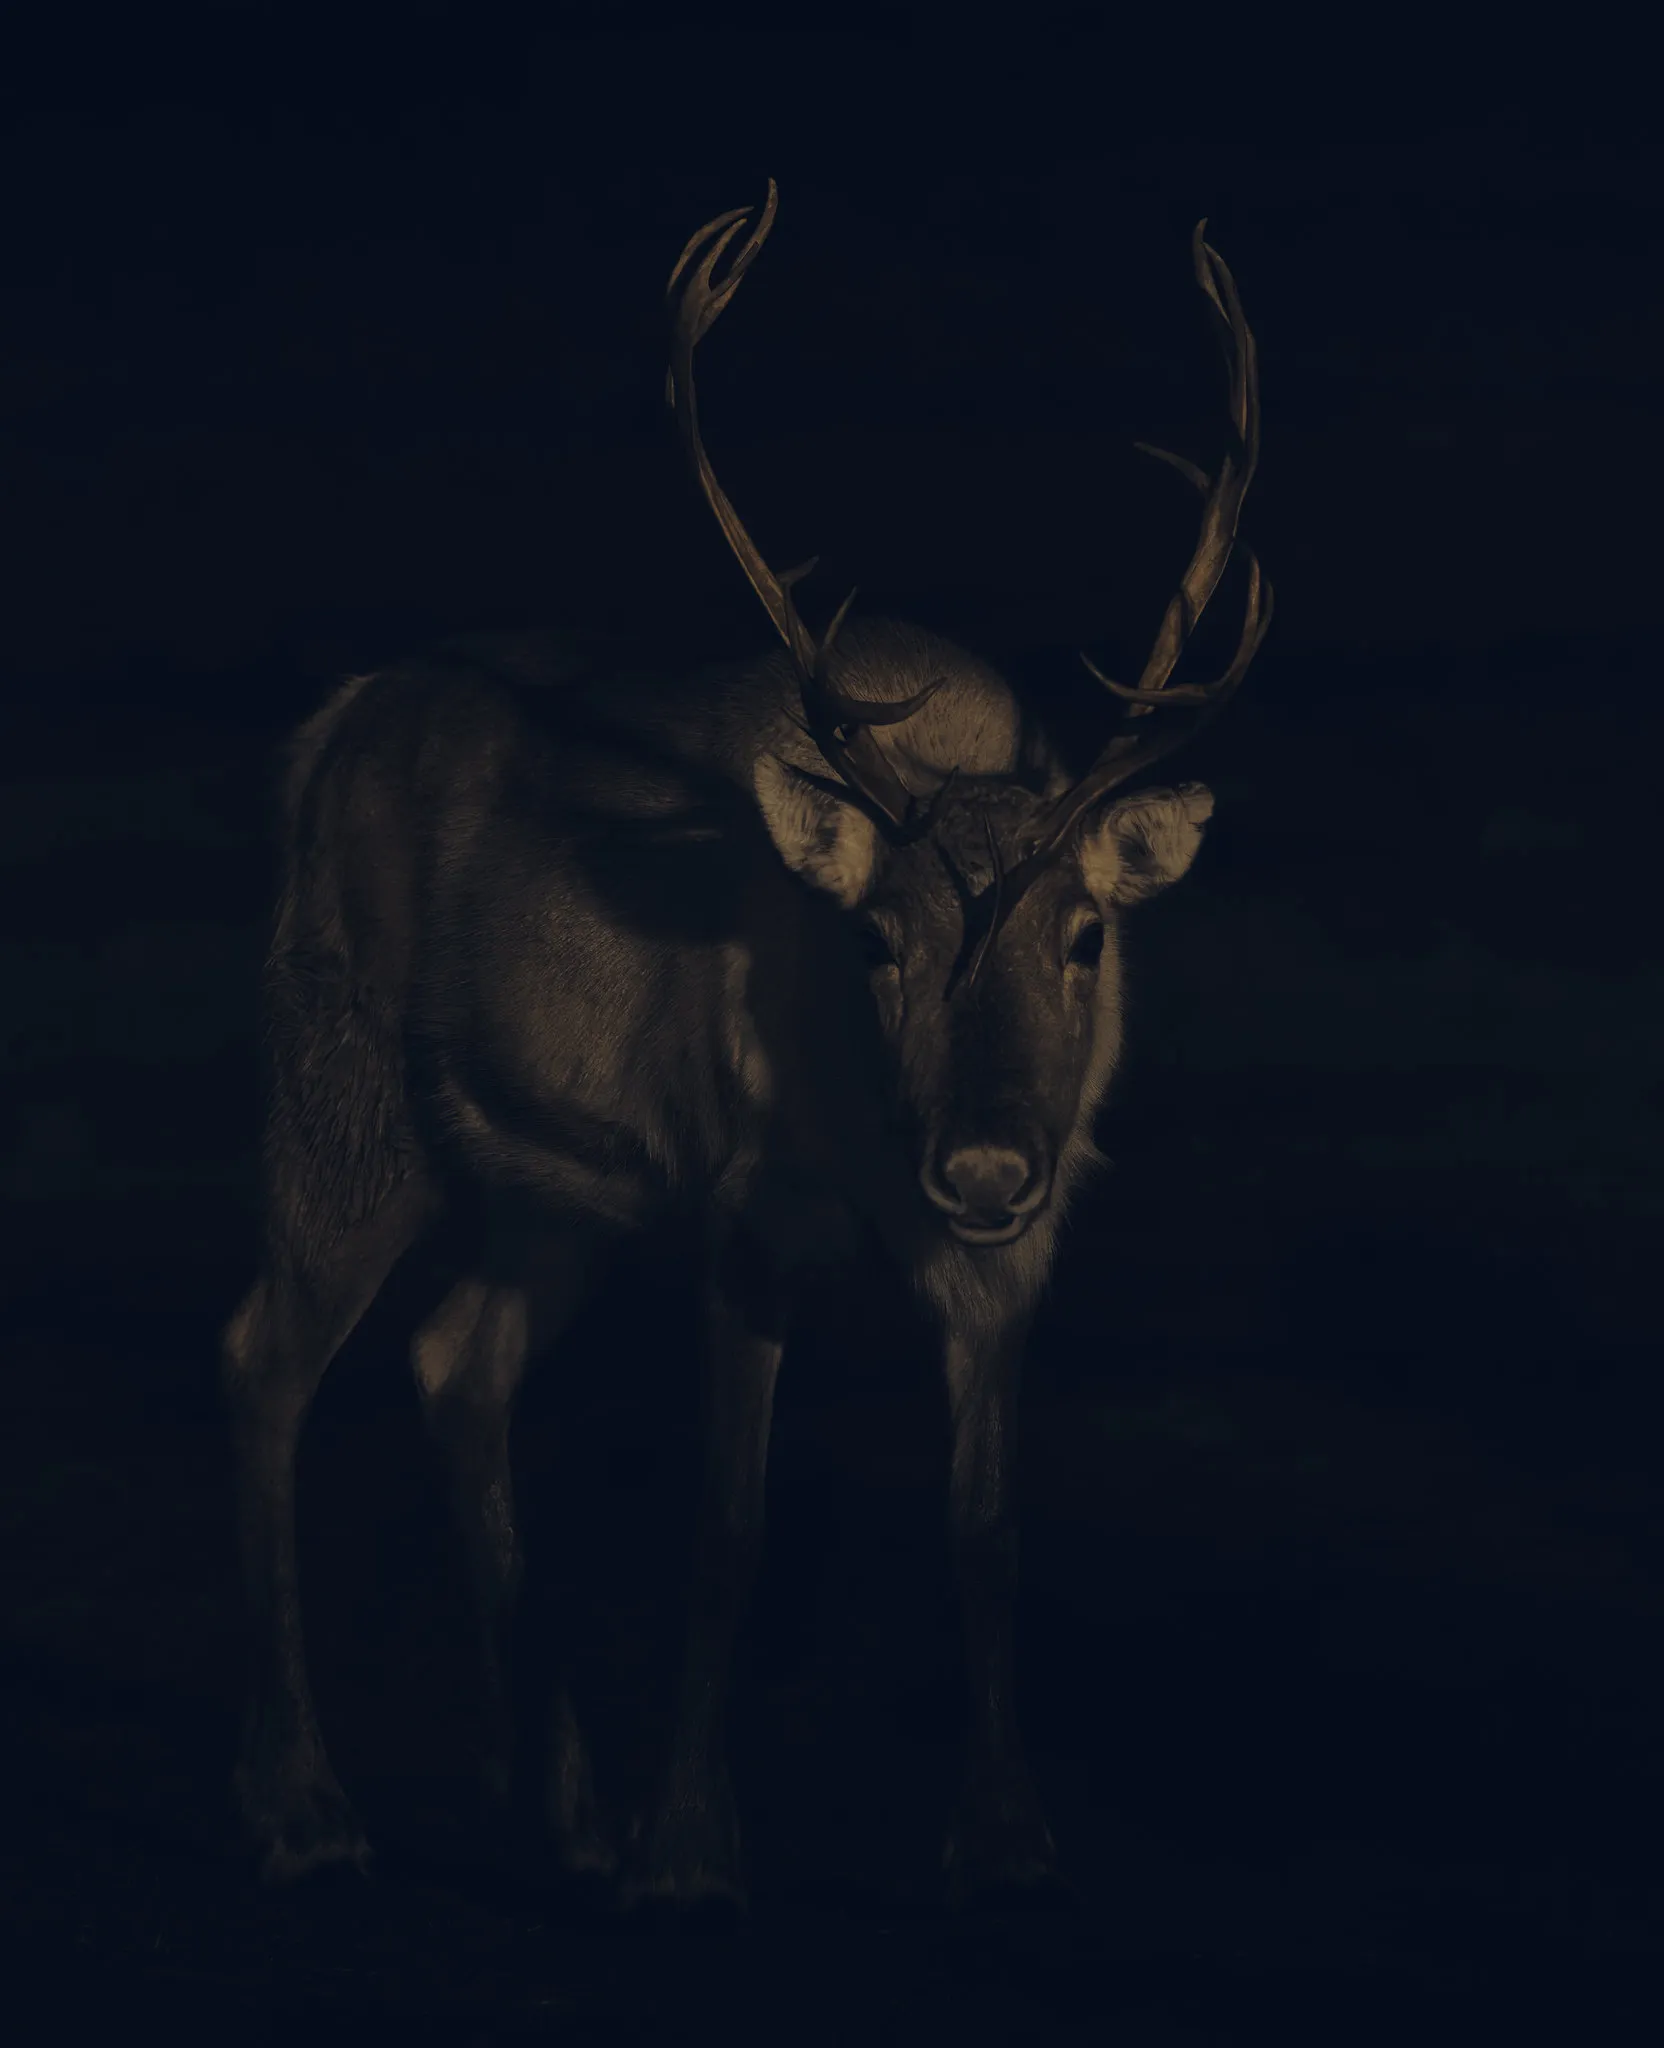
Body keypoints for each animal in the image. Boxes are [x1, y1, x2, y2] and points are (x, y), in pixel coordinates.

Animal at [220, 180, 1270, 1911]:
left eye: (1086, 936)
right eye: (877, 938)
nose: (986, 1160)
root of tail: (325, 729)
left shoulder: (1018, 1255)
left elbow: (991, 1533)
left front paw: (1006, 1830)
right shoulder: (739, 1201)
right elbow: (727, 1526)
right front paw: (691, 1842)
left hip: (550, 1192)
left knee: (454, 1360)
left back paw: (552, 1798)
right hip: (338, 1080)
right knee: (267, 1359)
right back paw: (308, 1806)